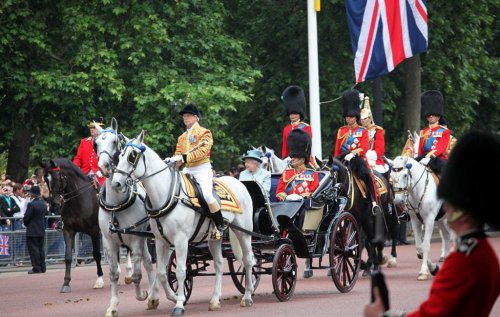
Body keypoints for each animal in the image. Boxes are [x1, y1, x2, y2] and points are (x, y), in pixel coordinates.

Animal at [41, 157, 103, 292]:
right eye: (45, 179)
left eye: (57, 177)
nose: (54, 204)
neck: (78, 200)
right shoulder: (68, 230)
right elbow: (68, 256)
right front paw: (66, 283)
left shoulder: (95, 232)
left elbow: (96, 254)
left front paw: (99, 280)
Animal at [94, 119, 156, 314]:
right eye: (96, 143)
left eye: (114, 141)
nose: (103, 167)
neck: (117, 205)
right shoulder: (108, 241)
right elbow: (114, 274)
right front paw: (113, 306)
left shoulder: (135, 239)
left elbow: (137, 274)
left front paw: (142, 295)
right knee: (149, 262)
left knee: (148, 263)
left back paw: (153, 295)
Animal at [112, 130, 256, 314]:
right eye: (119, 155)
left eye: (132, 156)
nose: (116, 183)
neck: (168, 195)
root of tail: (239, 183)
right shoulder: (160, 241)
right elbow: (161, 272)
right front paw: (166, 298)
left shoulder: (181, 241)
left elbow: (181, 271)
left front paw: (179, 304)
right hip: (214, 238)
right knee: (219, 264)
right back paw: (215, 300)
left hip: (243, 232)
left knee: (248, 260)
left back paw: (247, 296)